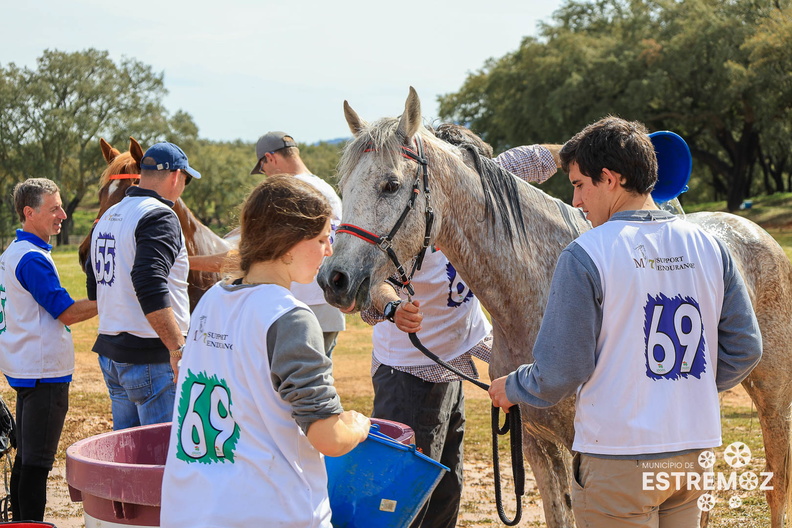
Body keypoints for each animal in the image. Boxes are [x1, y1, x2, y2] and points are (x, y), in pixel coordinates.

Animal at [318, 87, 792, 528]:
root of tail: (751, 230)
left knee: (777, 485)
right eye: (344, 187)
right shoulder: (536, 444)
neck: (534, 296)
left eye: (391, 185)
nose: (333, 279)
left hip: (773, 400)